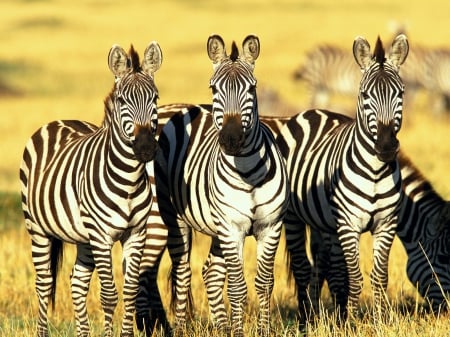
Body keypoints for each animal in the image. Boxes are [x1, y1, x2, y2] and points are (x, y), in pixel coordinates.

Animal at [20, 42, 163, 336]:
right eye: (122, 101)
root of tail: (57, 121)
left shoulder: (136, 233)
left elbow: (129, 292)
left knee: (77, 281)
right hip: (37, 228)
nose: (145, 148)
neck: (129, 180)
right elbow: (108, 294)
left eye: (155, 97)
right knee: (44, 283)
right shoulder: (101, 235)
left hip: (82, 237)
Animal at [151, 34, 290, 336]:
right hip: (174, 217)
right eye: (214, 88)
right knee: (183, 272)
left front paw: (261, 330)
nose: (231, 139)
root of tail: (173, 108)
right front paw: (239, 332)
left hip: (216, 226)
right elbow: (237, 286)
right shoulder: (231, 228)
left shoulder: (270, 226)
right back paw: (182, 328)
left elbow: (265, 283)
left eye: (252, 88)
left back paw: (222, 327)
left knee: (210, 272)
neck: (248, 172)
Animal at [276, 34, 410, 326]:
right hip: (292, 217)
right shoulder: (349, 225)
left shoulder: (386, 224)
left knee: (322, 266)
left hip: (323, 223)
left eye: (401, 93)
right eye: (365, 95)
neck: (375, 172)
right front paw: (351, 323)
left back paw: (317, 316)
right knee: (302, 268)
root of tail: (312, 111)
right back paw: (305, 320)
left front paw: (379, 322)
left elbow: (379, 277)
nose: (386, 147)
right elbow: (355, 277)